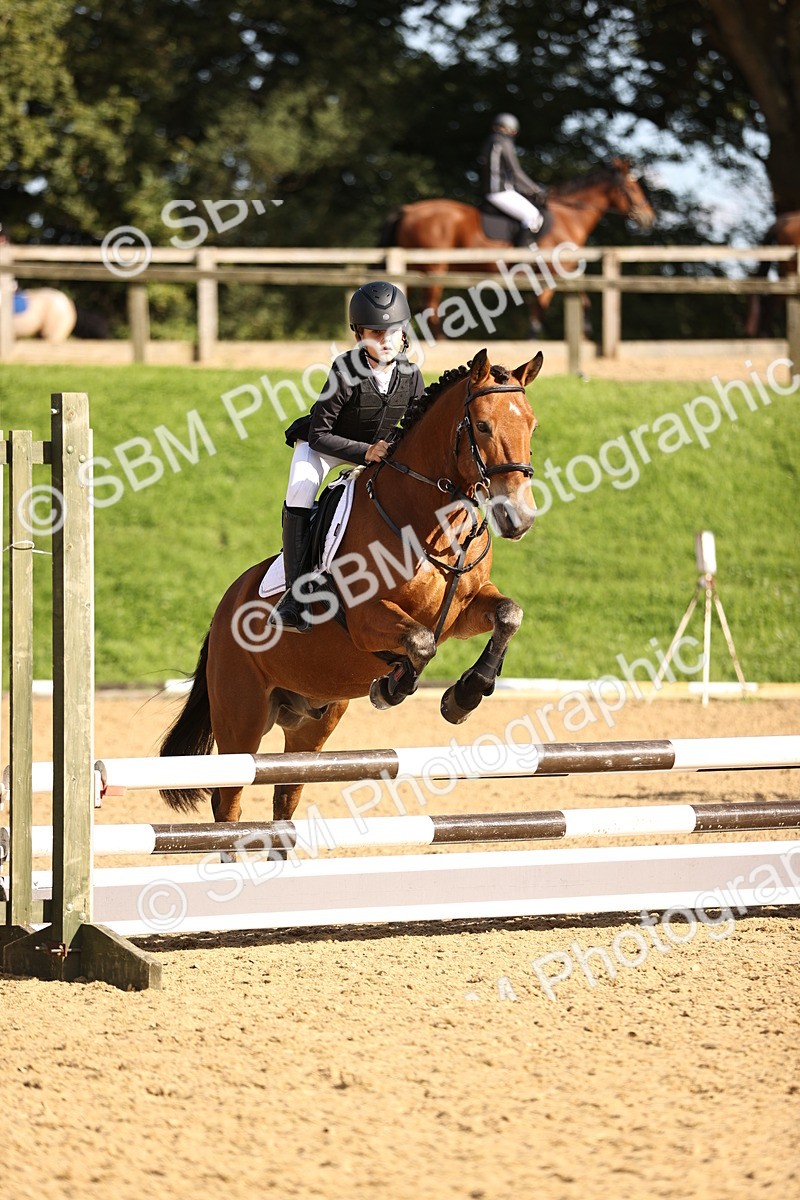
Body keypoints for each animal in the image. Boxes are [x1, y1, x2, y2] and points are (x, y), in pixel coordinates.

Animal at [159, 347, 543, 827]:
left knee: (287, 792)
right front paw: (393, 688)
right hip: (241, 721)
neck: (428, 519)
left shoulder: (463, 610)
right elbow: (420, 643)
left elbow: (509, 614)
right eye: (484, 426)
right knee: (227, 800)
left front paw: (464, 695)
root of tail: (222, 611)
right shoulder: (366, 620)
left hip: (313, 721)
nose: (519, 518)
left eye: (532, 425)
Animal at [380, 158, 655, 337]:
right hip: (434, 269)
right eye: (632, 188)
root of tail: (408, 210)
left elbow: (562, 301)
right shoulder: (556, 271)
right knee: (431, 308)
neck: (569, 216)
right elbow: (548, 306)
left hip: (417, 269)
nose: (649, 218)